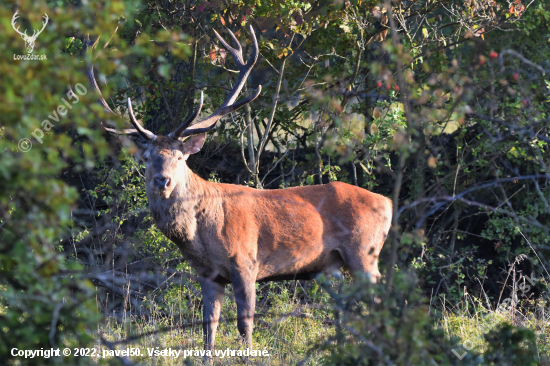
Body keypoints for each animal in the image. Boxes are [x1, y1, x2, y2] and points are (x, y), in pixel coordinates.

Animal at [85, 26, 392, 358]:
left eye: (179, 157)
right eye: (147, 157)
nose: (162, 181)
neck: (200, 233)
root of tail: (387, 202)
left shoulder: (246, 261)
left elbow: (245, 324)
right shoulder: (207, 273)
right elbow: (208, 327)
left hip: (364, 250)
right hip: (337, 263)